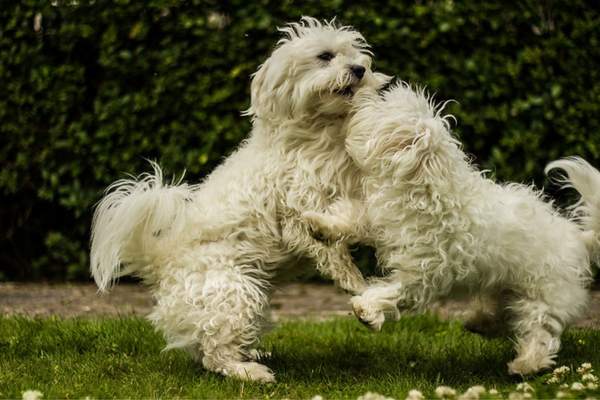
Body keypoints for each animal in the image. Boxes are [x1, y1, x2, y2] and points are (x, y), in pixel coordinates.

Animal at [89, 17, 390, 382]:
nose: (359, 69)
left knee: (203, 345)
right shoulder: (298, 215)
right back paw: (250, 371)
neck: (319, 135)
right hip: (235, 292)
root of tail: (160, 262)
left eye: (355, 53)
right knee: (214, 354)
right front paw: (358, 286)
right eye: (325, 56)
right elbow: (334, 253)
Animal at [308, 83, 596, 376]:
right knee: (503, 316)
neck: (424, 190)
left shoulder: (422, 274)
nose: (361, 96)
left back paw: (525, 365)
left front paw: (366, 310)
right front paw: (318, 225)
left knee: (540, 333)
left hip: (542, 297)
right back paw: (480, 323)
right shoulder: (381, 222)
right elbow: (351, 219)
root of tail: (579, 237)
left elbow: (392, 291)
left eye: (380, 109)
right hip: (504, 286)